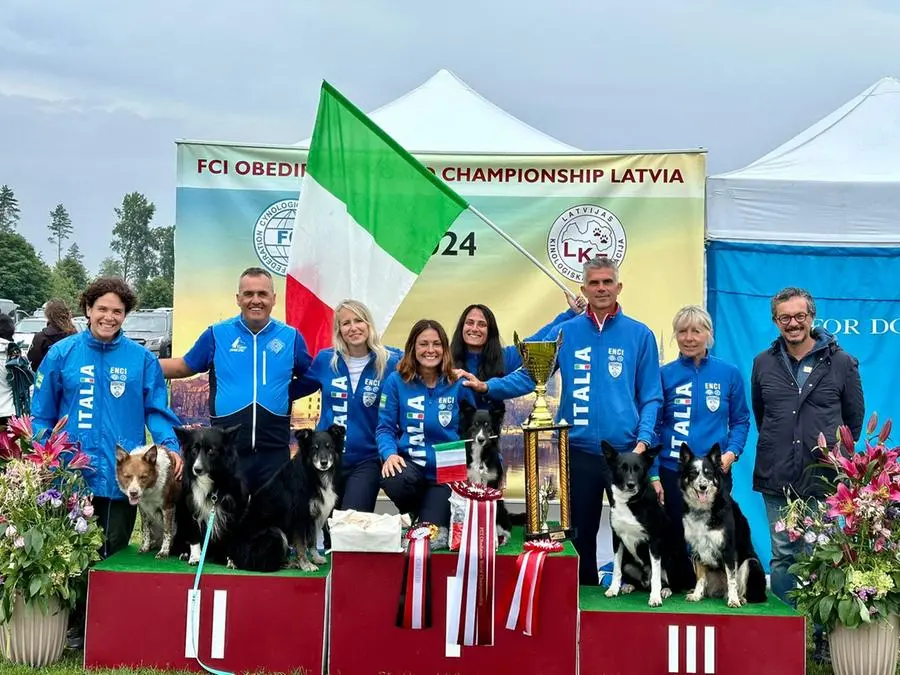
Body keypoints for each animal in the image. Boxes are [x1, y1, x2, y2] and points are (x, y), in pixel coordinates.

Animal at [172, 426, 248, 568]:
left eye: (211, 450)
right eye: (194, 450)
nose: (197, 469)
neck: (211, 479)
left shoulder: (231, 511)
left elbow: (227, 538)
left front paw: (228, 559)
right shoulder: (192, 508)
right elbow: (194, 535)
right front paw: (195, 557)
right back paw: (185, 553)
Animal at [229, 428, 344, 572]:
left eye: (330, 447)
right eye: (314, 448)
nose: (324, 463)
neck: (312, 472)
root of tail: (235, 557)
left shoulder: (312, 516)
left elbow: (312, 541)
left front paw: (316, 558)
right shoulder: (300, 517)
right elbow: (301, 544)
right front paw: (306, 564)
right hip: (275, 532)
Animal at [684, 444, 768, 608]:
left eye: (708, 473)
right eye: (693, 473)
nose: (703, 487)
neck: (705, 509)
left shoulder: (728, 549)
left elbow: (732, 579)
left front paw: (734, 600)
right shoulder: (697, 548)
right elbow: (700, 577)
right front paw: (696, 595)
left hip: (751, 563)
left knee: (748, 591)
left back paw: (740, 598)